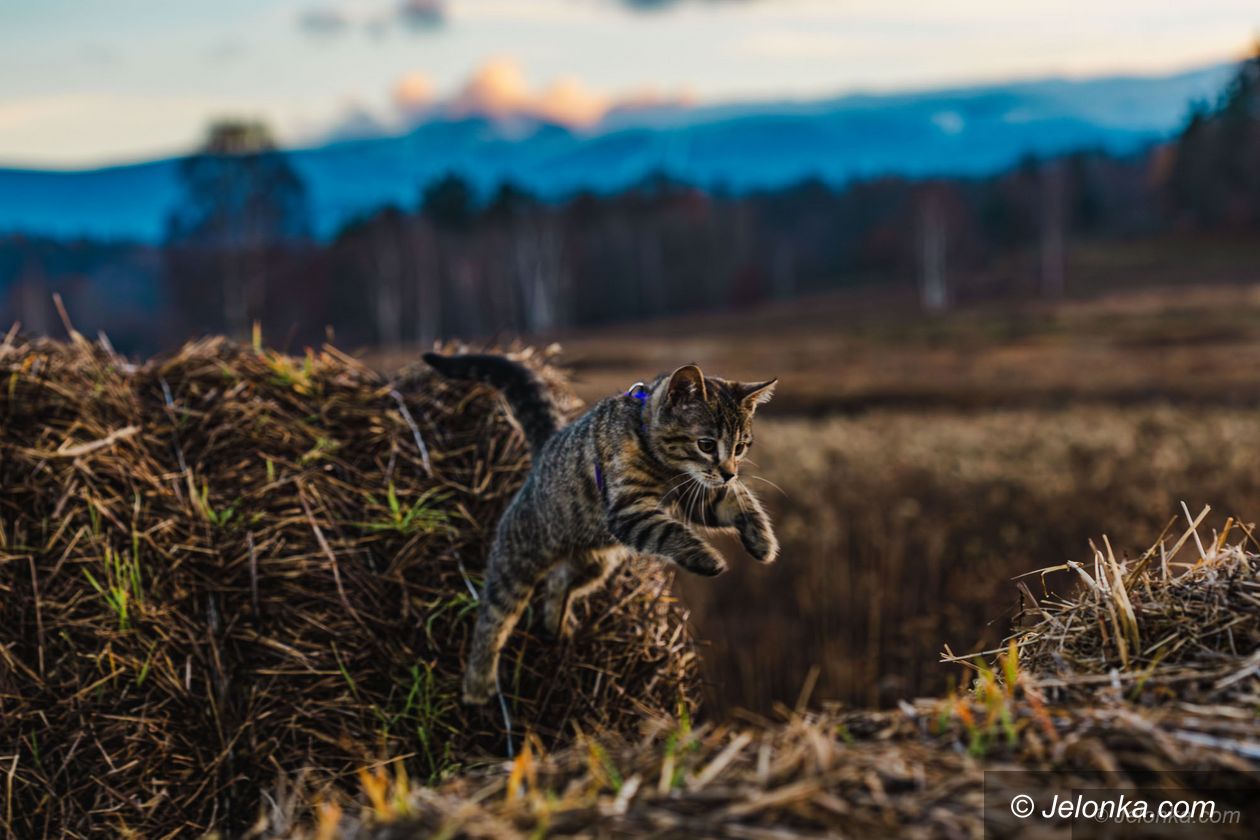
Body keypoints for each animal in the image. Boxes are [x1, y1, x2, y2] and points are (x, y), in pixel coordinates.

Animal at [423, 352, 776, 705]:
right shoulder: (628, 512)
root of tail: (543, 452)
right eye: (706, 444)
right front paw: (705, 557)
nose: (730, 471)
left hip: (595, 565)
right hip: (516, 560)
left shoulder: (696, 493)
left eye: (741, 447)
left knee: (558, 582)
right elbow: (669, 531)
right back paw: (478, 683)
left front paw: (762, 541)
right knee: (493, 618)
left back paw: (557, 624)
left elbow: (740, 501)